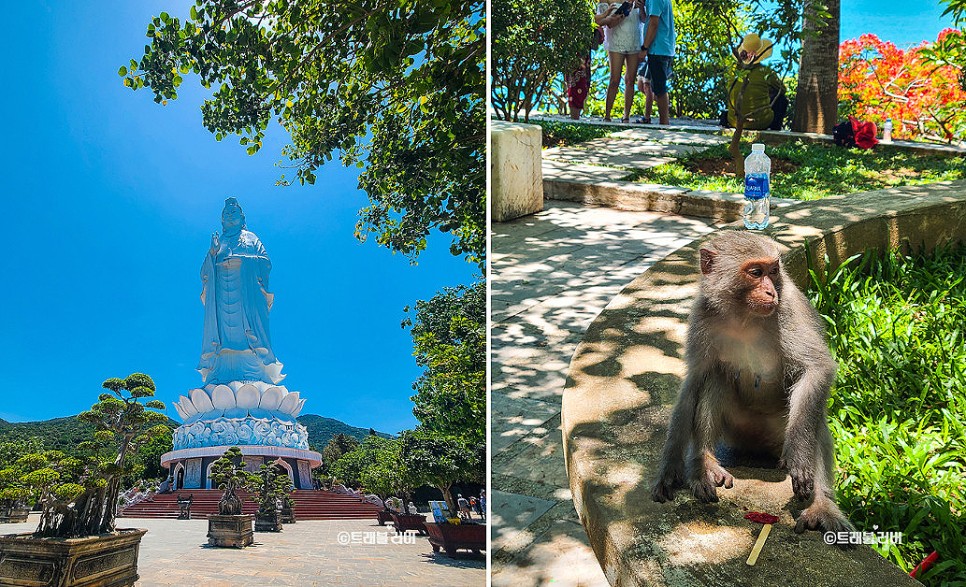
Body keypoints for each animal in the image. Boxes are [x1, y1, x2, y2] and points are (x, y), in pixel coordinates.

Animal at [656, 230, 856, 536]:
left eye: (773, 271)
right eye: (755, 272)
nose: (771, 292)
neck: (744, 316)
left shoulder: (789, 309)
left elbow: (816, 369)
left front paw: (800, 457)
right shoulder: (702, 315)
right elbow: (694, 381)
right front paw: (671, 468)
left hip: (780, 428)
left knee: (814, 417)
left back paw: (821, 504)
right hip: (738, 429)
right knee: (716, 379)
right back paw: (706, 463)